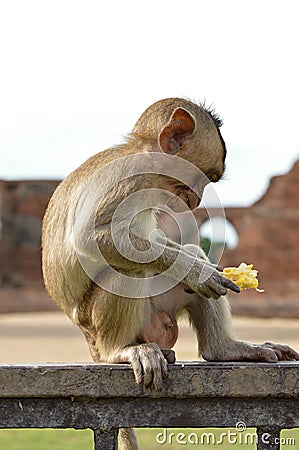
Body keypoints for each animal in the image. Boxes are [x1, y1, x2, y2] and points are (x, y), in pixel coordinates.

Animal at [41, 98, 299, 450]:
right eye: (204, 177)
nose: (198, 199)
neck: (143, 155)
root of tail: (86, 334)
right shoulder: (129, 179)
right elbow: (90, 238)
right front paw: (195, 271)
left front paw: (197, 267)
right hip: (92, 319)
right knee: (123, 272)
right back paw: (119, 351)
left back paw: (226, 349)